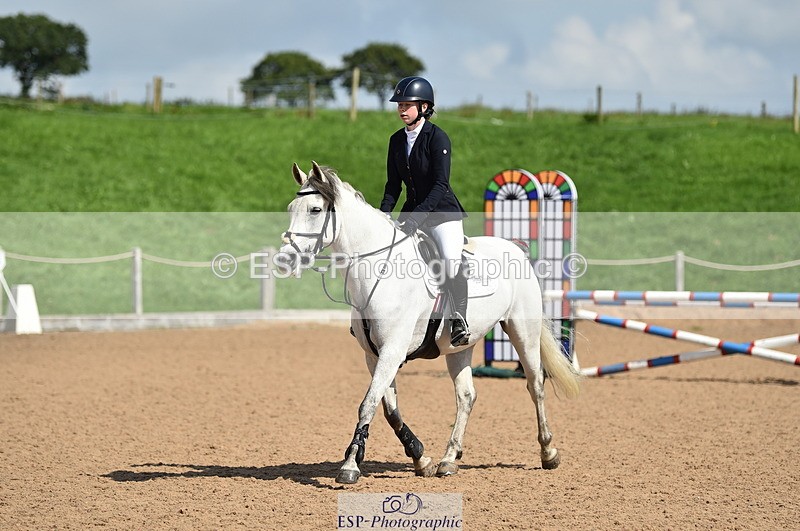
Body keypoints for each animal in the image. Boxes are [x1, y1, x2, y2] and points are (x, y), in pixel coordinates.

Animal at [279, 161, 581, 484]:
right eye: (291, 208)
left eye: (315, 210)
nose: (285, 260)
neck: (379, 271)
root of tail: (515, 247)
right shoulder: (375, 355)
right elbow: (389, 410)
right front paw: (420, 458)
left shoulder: (392, 351)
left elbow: (367, 404)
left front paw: (350, 465)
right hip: (461, 346)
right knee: (466, 396)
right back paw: (449, 459)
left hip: (522, 331)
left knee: (535, 384)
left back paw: (548, 452)